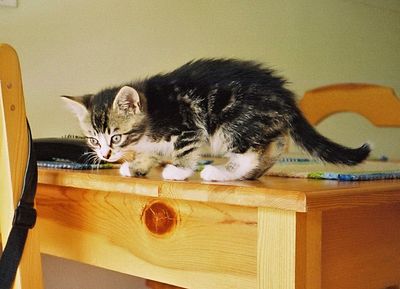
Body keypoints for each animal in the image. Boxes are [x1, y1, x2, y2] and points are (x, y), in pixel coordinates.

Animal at [61, 58, 370, 180]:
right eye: (93, 140)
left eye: (116, 137)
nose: (106, 155)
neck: (150, 113)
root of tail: (283, 95)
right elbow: (152, 152)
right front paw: (137, 167)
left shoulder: (187, 126)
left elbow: (184, 151)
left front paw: (178, 171)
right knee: (276, 144)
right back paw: (250, 174)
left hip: (232, 122)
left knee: (248, 153)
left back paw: (220, 173)